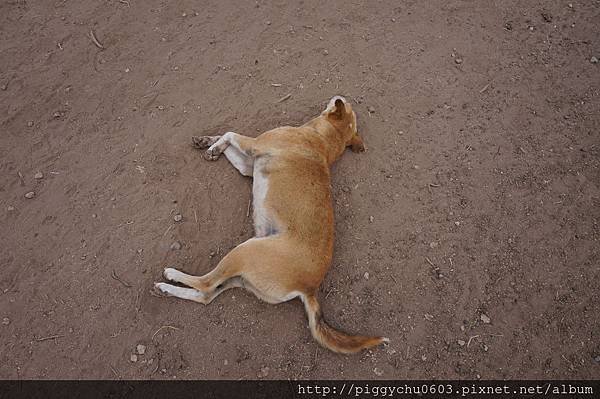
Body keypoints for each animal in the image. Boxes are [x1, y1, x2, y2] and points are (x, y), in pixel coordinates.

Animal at [156, 97, 390, 354]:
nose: (340, 97)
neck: (324, 140)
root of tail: (309, 289)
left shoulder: (254, 145)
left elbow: (229, 133)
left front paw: (213, 148)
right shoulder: (247, 164)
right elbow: (226, 140)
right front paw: (207, 141)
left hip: (244, 251)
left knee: (206, 284)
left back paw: (171, 274)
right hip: (241, 276)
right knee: (206, 295)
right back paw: (166, 289)